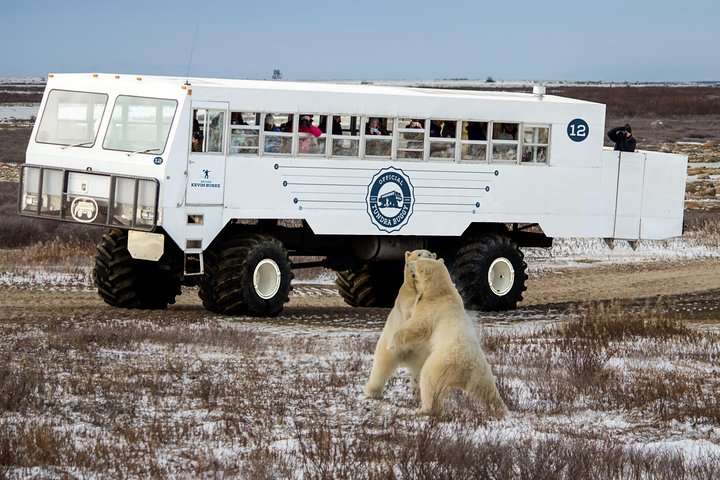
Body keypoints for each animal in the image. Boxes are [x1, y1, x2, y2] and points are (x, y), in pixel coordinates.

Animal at [364, 249, 437, 399]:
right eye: (418, 254)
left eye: (429, 254)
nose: (425, 259)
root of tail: (406, 355)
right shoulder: (405, 295)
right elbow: (410, 309)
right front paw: (419, 296)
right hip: (389, 346)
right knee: (381, 366)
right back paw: (372, 392)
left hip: (421, 353)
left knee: (419, 371)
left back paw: (417, 392)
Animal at [389, 257, 508, 417]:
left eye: (418, 262)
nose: (408, 264)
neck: (440, 292)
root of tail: (466, 366)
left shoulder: (432, 309)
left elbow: (418, 326)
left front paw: (391, 343)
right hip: (482, 372)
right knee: (487, 391)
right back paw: (501, 408)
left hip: (440, 364)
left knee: (428, 380)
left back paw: (422, 409)